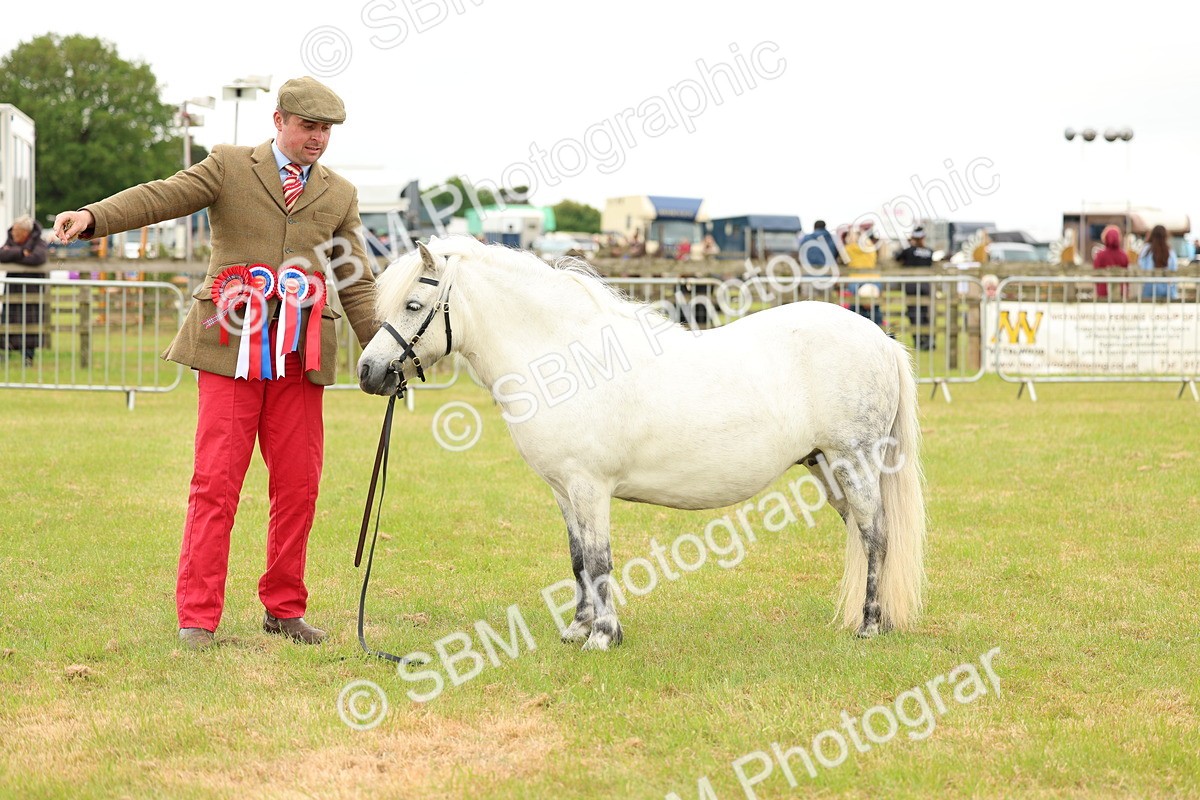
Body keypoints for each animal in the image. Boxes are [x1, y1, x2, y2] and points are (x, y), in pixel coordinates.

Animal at [357, 237, 926, 650]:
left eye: (413, 304)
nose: (368, 372)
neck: (565, 359)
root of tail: (879, 337)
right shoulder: (564, 491)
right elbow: (578, 559)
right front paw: (577, 629)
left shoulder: (589, 487)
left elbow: (600, 559)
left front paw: (603, 637)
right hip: (825, 467)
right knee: (860, 533)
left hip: (853, 462)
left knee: (876, 535)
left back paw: (870, 626)